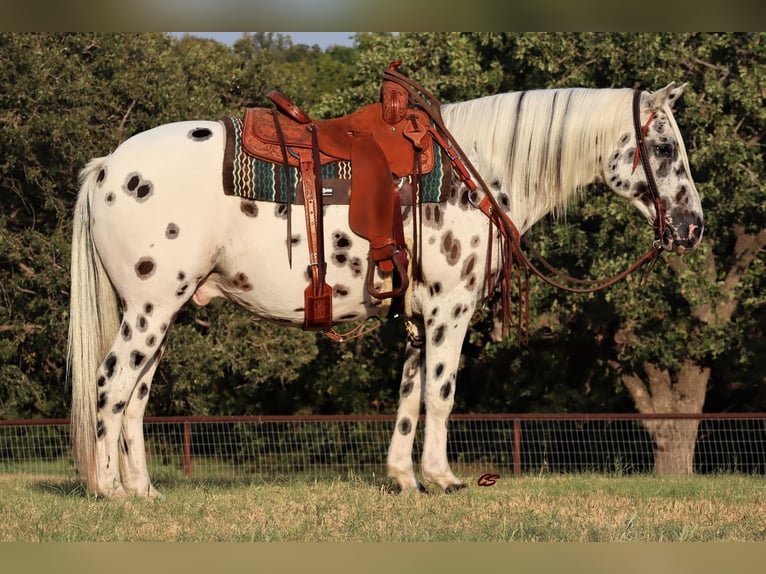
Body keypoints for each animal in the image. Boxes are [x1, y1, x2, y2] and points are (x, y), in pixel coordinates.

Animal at [69, 82, 704, 500]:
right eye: (665, 148)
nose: (693, 227)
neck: (479, 172)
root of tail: (107, 167)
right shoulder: (450, 308)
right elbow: (441, 395)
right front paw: (443, 479)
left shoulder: (421, 318)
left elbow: (408, 397)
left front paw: (405, 479)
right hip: (150, 311)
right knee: (108, 386)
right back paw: (110, 492)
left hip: (158, 314)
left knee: (135, 397)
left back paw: (144, 491)